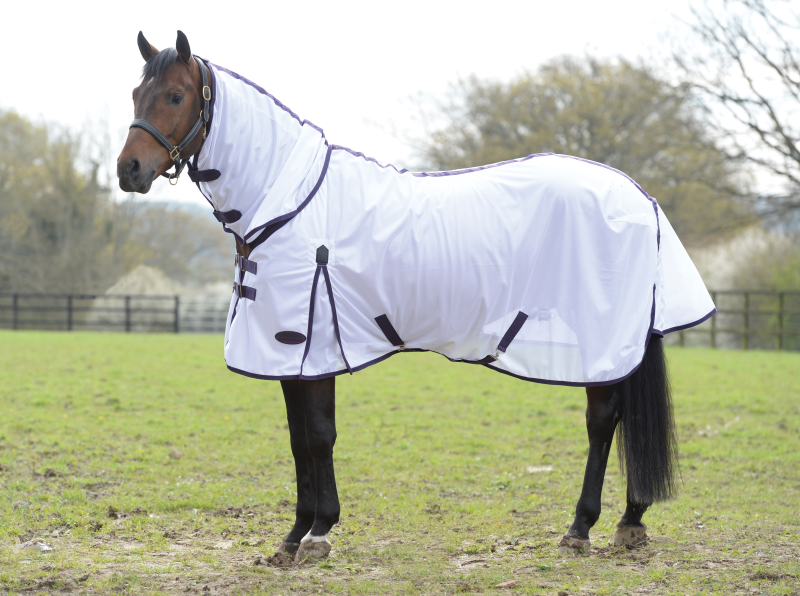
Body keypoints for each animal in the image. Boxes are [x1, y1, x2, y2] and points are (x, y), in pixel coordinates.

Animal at [118, 31, 715, 562]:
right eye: (135, 94)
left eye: (175, 96)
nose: (129, 170)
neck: (287, 203)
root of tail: (640, 197)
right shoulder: (293, 357)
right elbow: (299, 440)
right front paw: (297, 535)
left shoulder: (310, 344)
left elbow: (318, 436)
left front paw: (316, 533)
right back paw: (629, 521)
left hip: (600, 337)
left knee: (603, 420)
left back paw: (581, 527)